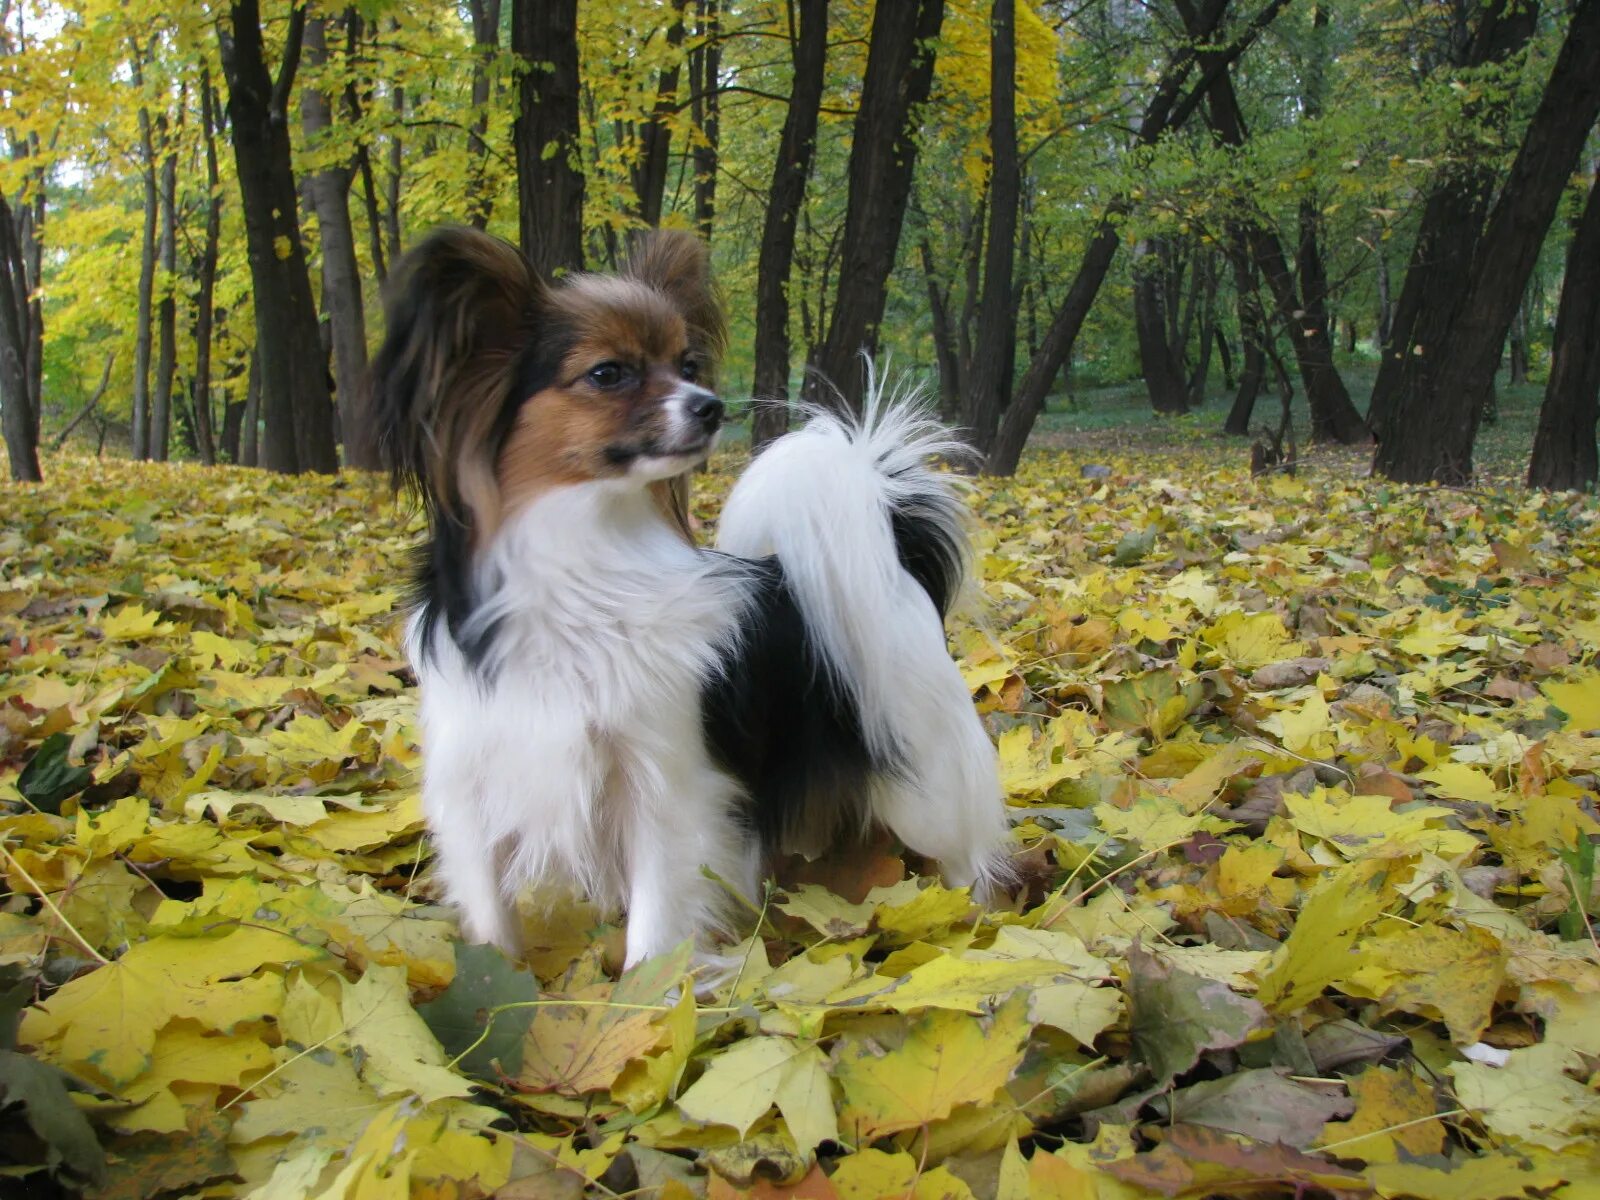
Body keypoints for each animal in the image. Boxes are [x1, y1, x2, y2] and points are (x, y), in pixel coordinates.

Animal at [368, 230, 1004, 972]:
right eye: (608, 373)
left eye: (688, 363)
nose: (711, 404)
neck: (586, 556)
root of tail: (894, 553)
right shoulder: (476, 790)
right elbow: (491, 923)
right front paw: (497, 982)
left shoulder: (664, 789)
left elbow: (654, 926)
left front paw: (650, 996)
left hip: (923, 786)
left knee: (967, 856)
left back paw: (976, 926)